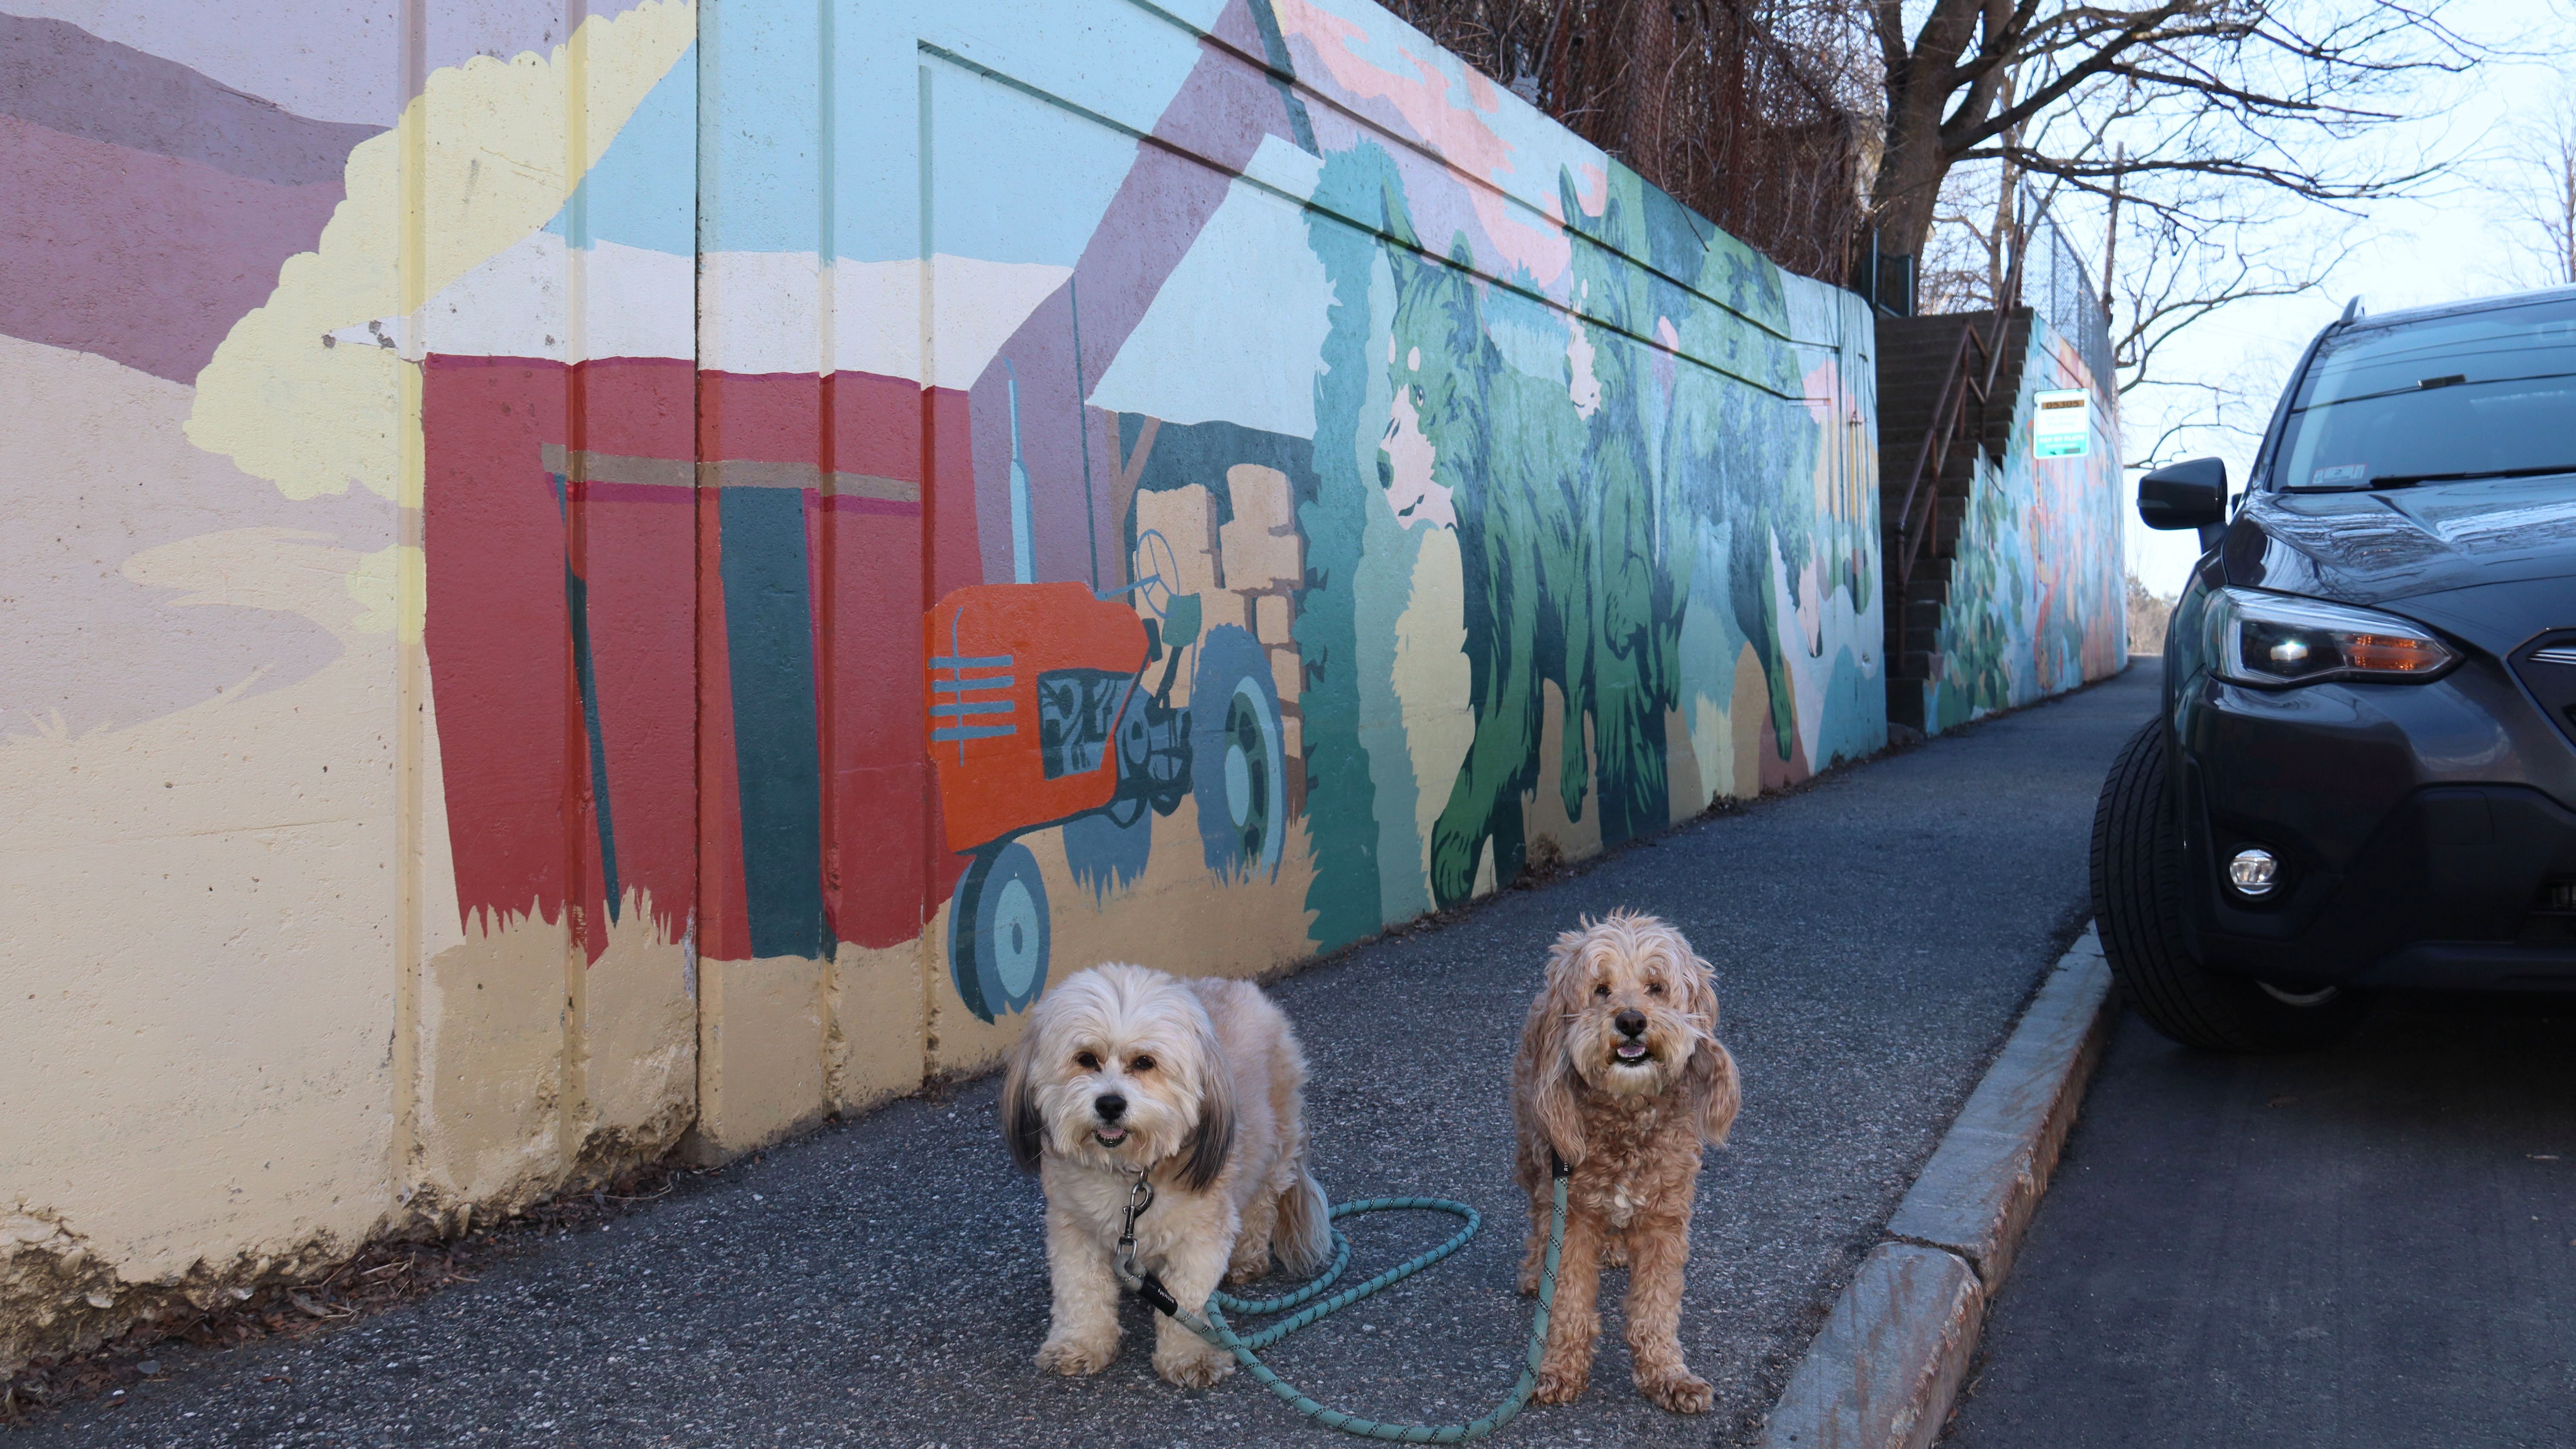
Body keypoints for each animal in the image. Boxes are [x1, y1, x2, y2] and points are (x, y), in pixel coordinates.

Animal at [1001, 963, 1333, 1388]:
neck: (1132, 1173)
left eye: (1145, 1062)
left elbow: (1187, 1300)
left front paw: (1191, 1355)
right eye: (1086, 1058)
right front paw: (1080, 1343)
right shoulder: (1073, 1228)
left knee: (1261, 1205)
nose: (1110, 1104)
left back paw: (1245, 1260)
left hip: (1276, 1148)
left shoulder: (1201, 1237)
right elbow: (1080, 1290)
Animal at [1512, 911, 1740, 1412]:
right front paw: (1558, 1368)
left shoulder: (1665, 1216)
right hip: (1534, 1147)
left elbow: (1656, 1308)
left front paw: (1667, 1375)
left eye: (1656, 987)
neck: (1626, 1114)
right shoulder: (1572, 1213)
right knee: (1537, 1216)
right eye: (1601, 989)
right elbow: (1568, 1301)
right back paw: (1536, 1272)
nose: (1631, 1019)